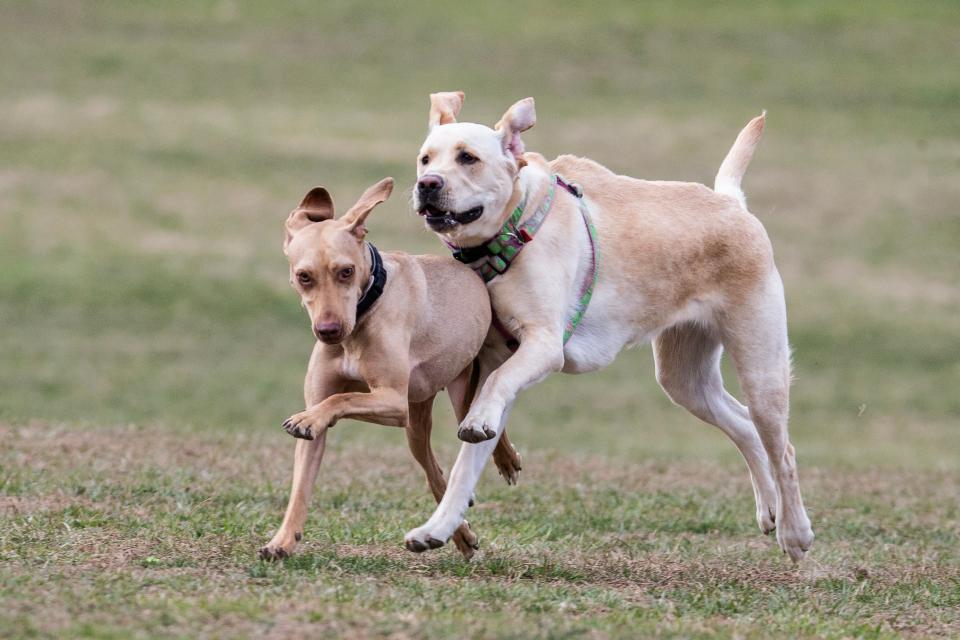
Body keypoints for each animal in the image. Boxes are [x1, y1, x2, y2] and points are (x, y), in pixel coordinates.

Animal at [258, 175, 520, 560]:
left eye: (346, 271)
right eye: (304, 276)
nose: (329, 331)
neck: (363, 315)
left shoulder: (393, 401)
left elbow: (340, 400)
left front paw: (307, 419)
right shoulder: (340, 410)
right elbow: (301, 485)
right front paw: (282, 541)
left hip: (460, 389)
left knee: (481, 421)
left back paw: (505, 459)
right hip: (416, 420)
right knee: (434, 472)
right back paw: (460, 534)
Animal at [402, 92, 812, 564]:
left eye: (467, 157)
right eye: (425, 158)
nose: (427, 184)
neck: (513, 230)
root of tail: (732, 202)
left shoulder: (542, 346)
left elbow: (496, 389)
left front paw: (477, 423)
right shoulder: (493, 359)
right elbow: (465, 466)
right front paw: (436, 529)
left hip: (762, 365)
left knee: (783, 448)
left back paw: (795, 533)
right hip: (684, 378)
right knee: (744, 426)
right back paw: (769, 510)